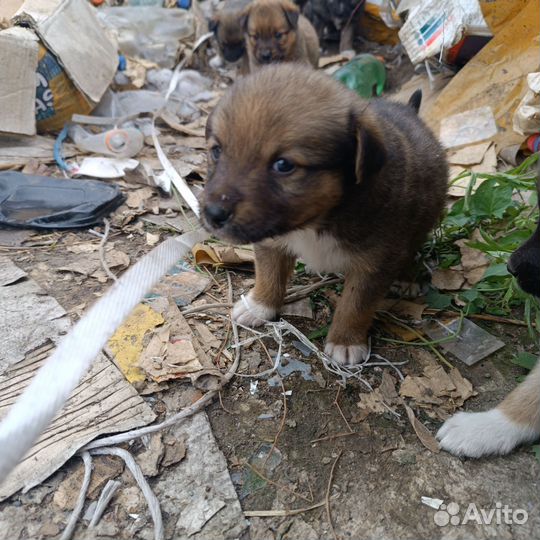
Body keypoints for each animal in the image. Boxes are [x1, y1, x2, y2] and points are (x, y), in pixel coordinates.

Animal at [201, 64, 448, 368]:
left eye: (283, 165)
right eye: (216, 151)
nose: (212, 214)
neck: (316, 220)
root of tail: (410, 111)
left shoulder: (374, 262)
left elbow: (355, 305)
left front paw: (346, 341)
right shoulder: (271, 242)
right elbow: (268, 275)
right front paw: (259, 306)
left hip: (421, 221)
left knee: (412, 247)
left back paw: (407, 278)